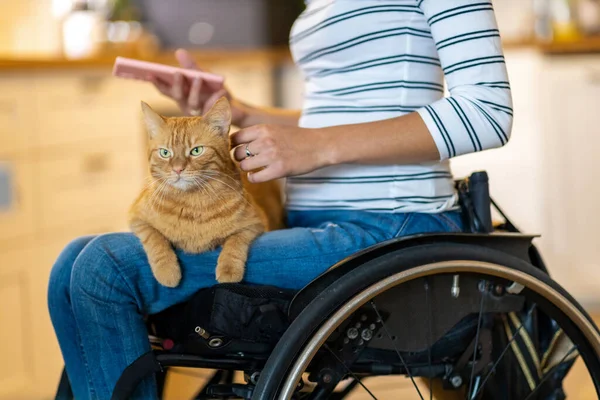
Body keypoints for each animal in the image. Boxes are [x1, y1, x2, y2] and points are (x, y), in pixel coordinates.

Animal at [129, 97, 284, 288]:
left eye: (196, 151)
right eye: (165, 153)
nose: (178, 169)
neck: (192, 203)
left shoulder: (256, 223)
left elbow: (235, 241)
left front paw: (228, 270)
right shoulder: (137, 217)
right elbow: (155, 238)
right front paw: (167, 270)